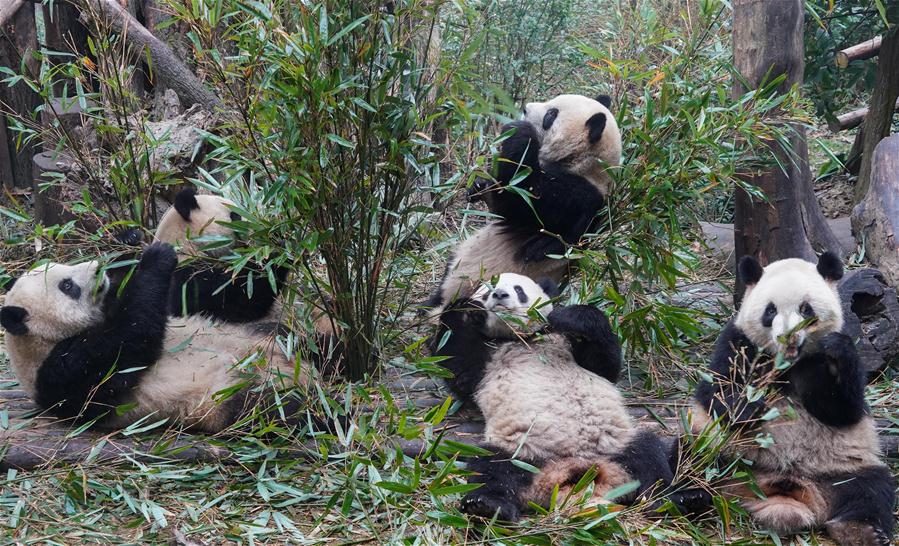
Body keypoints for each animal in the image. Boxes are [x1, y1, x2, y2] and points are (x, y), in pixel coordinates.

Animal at [0, 244, 312, 432]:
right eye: (67, 285)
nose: (99, 268)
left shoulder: (174, 305)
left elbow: (218, 299)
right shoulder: (61, 375)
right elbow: (132, 339)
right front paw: (155, 257)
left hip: (270, 336)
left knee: (301, 341)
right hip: (226, 396)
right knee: (278, 410)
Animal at [426, 94, 624, 312]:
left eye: (551, 114)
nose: (525, 108)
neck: (587, 164)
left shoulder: (578, 195)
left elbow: (519, 198)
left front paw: (520, 131)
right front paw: (478, 185)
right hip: (461, 257)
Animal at [432, 272, 684, 520]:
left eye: (518, 289)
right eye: (486, 292)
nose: (500, 295)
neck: (521, 338)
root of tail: (569, 474)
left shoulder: (564, 341)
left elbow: (605, 363)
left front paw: (569, 315)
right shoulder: (487, 357)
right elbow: (458, 370)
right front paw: (467, 309)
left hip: (617, 445)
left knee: (649, 457)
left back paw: (674, 501)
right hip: (520, 451)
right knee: (492, 468)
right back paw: (487, 505)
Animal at [692, 252, 896, 544]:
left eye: (806, 309)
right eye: (770, 310)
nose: (787, 336)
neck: (787, 362)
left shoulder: (827, 361)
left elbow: (845, 410)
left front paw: (837, 352)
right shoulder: (738, 342)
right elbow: (715, 390)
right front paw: (750, 406)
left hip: (842, 468)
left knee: (872, 488)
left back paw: (860, 531)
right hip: (723, 454)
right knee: (686, 458)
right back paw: (689, 496)